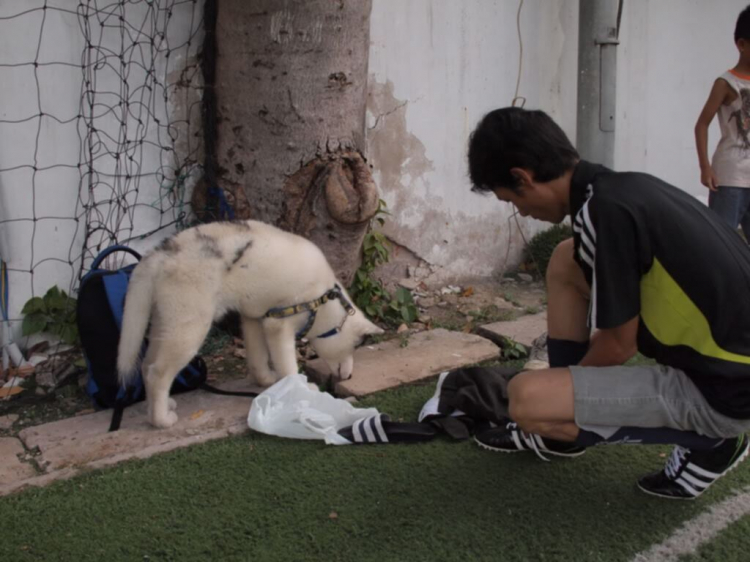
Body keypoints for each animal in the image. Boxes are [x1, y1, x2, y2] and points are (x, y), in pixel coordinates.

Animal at [121, 220, 388, 428]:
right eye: (355, 346)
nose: (349, 376)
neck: (322, 298)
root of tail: (158, 254)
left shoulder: (254, 318)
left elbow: (258, 358)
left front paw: (267, 381)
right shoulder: (277, 324)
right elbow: (288, 365)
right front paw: (300, 389)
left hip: (164, 324)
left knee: (146, 365)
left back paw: (160, 406)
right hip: (188, 328)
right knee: (158, 373)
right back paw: (160, 420)